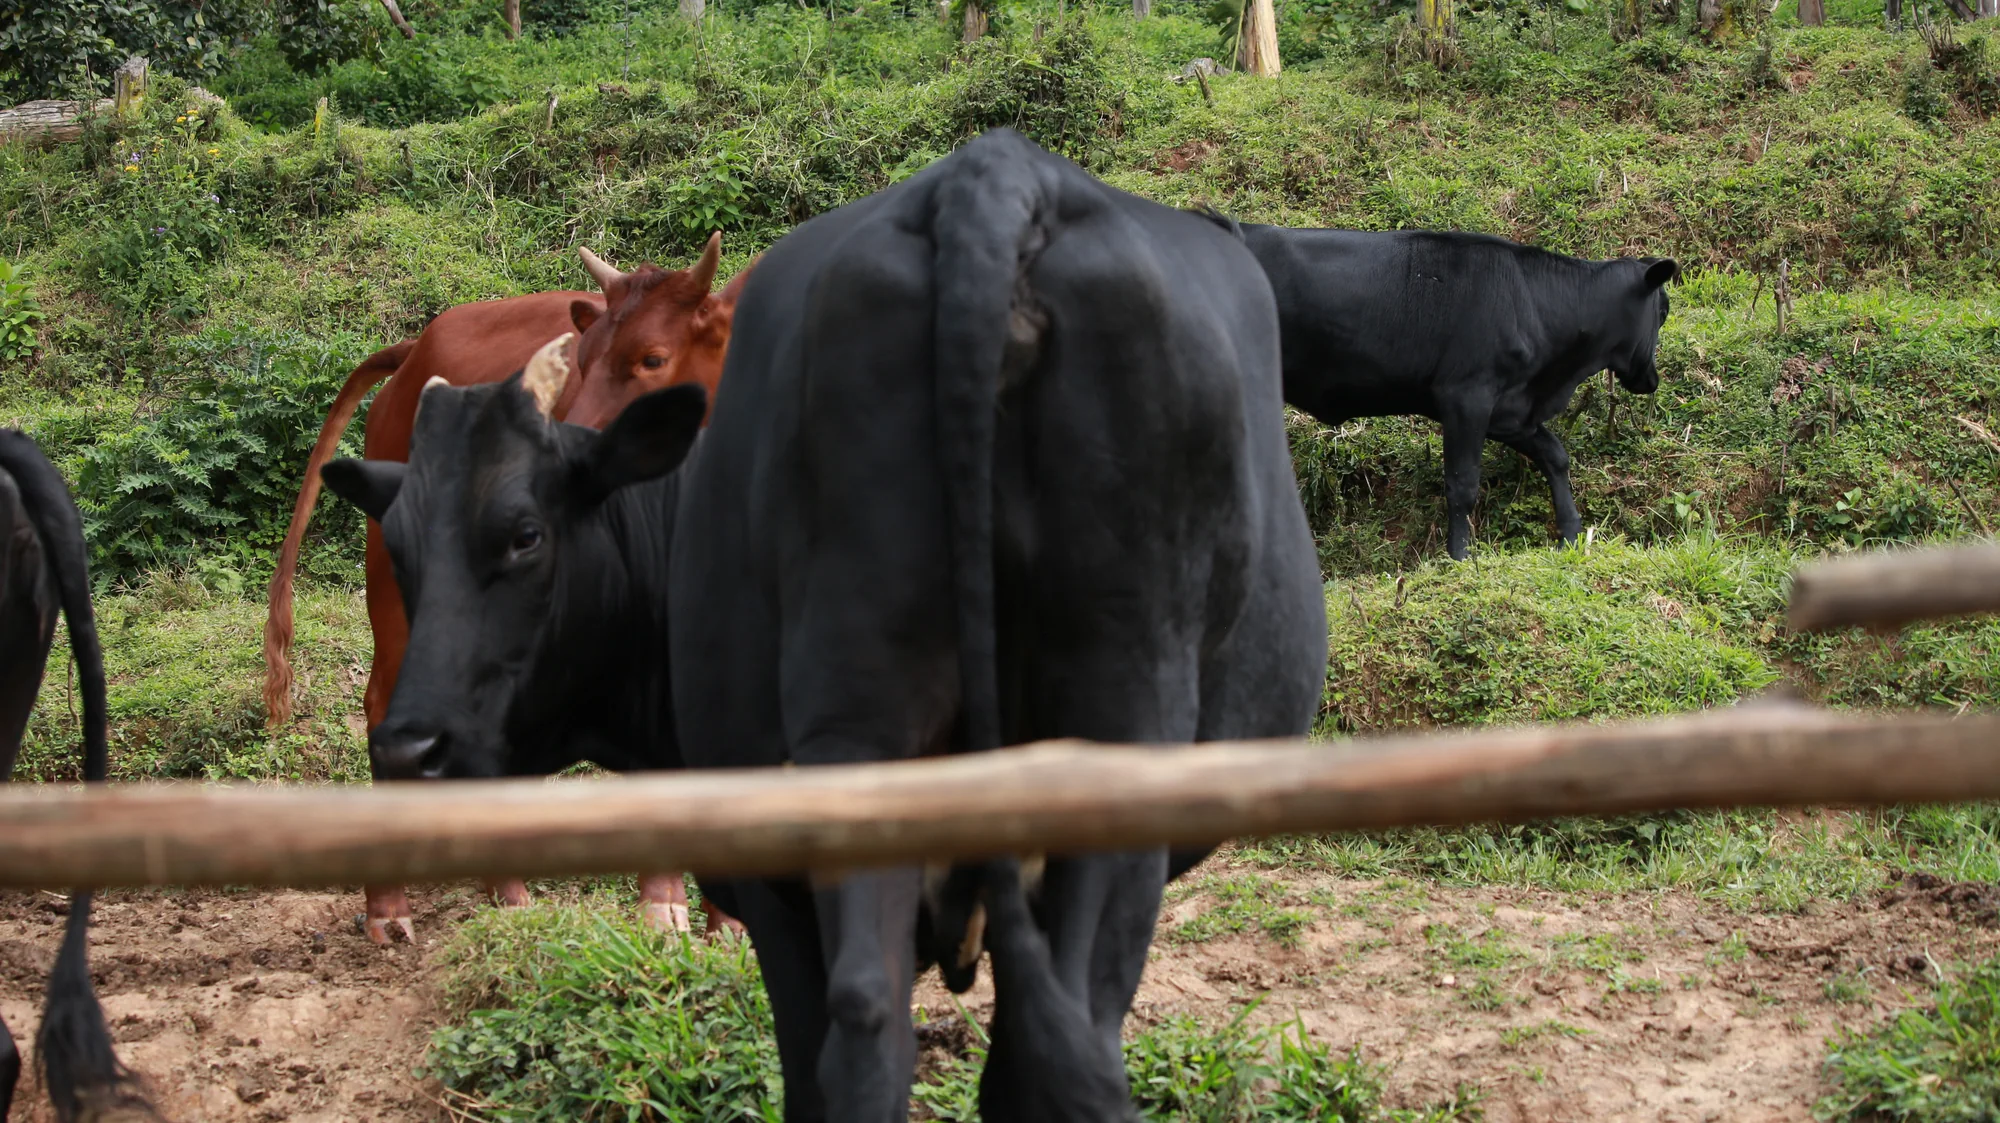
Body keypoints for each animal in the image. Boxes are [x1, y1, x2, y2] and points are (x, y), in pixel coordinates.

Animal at [261, 237, 751, 945]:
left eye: (652, 358)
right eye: (580, 361)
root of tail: (418, 346)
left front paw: (731, 918)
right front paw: (663, 906)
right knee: (382, 700)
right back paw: (396, 904)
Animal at [1209, 217, 1677, 560]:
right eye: (1664, 311)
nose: (1652, 380)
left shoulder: (1510, 409)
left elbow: (1555, 456)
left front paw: (1571, 534)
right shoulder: (1466, 396)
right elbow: (1463, 483)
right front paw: (1459, 557)